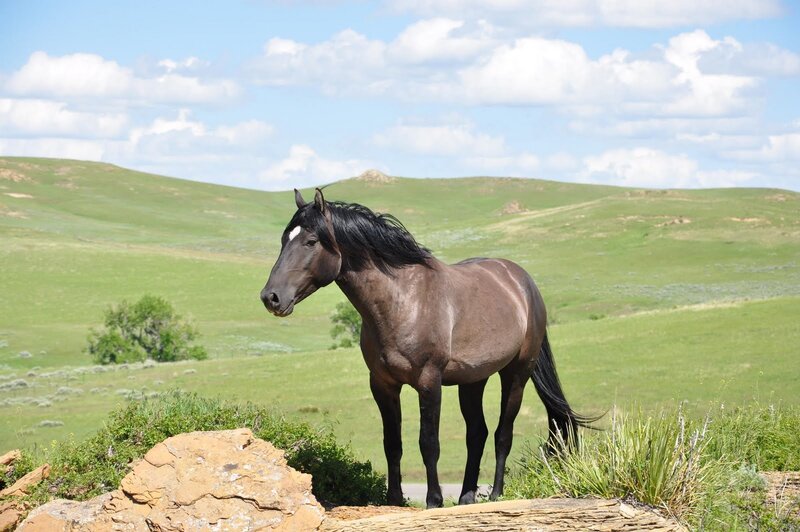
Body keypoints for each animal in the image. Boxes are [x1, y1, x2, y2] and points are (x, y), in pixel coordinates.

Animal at [260, 188, 595, 508]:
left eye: (311, 241)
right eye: (283, 239)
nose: (271, 297)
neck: (403, 301)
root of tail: (522, 282)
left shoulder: (429, 382)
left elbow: (428, 443)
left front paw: (433, 500)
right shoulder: (382, 384)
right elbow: (392, 443)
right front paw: (394, 498)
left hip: (516, 374)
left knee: (503, 433)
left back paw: (496, 494)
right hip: (473, 380)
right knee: (477, 433)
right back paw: (466, 497)